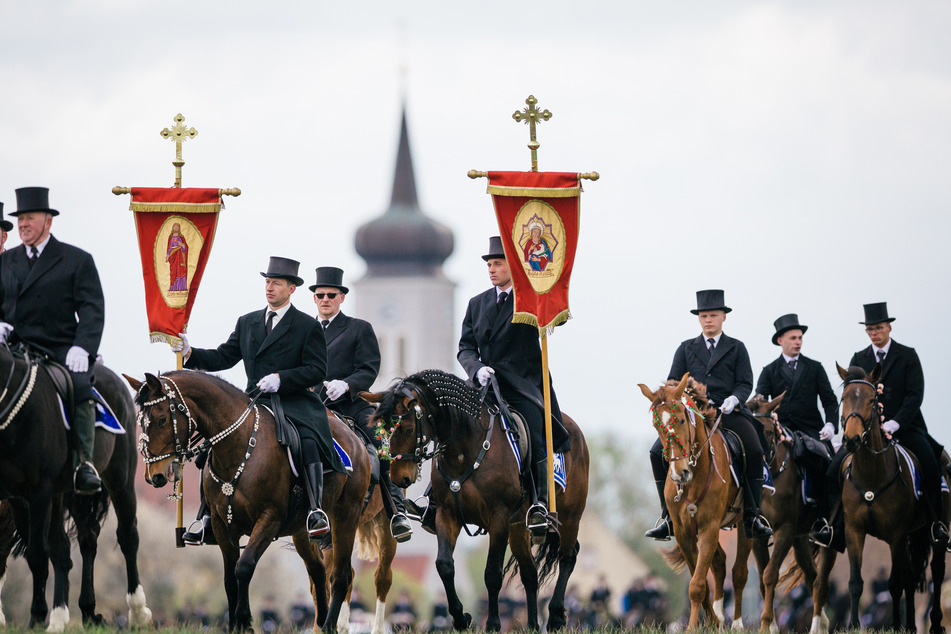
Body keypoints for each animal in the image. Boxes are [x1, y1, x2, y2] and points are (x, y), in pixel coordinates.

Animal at [129, 368, 390, 628]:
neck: (239, 446)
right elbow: (229, 580)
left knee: (341, 576)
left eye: (162, 420)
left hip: (346, 516)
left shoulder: (269, 519)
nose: (154, 476)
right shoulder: (221, 524)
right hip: (301, 530)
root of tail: (353, 436)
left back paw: (329, 627)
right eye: (141, 421)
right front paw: (235, 625)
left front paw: (245, 621)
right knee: (318, 572)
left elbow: (243, 568)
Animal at [362, 368, 592, 628]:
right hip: (518, 528)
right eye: (383, 429)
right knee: (530, 573)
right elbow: (444, 566)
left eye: (409, 429)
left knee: (568, 557)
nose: (398, 477)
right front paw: (461, 618)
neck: (464, 449)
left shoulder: (498, 518)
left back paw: (554, 616)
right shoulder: (447, 515)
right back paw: (533, 625)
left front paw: (492, 624)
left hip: (570, 516)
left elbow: (492, 574)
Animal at [640, 372, 760, 624]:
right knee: (720, 564)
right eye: (656, 425)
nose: (680, 474)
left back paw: (738, 624)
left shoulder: (709, 528)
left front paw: (694, 626)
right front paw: (712, 622)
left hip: (745, 527)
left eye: (681, 421)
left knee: (740, 573)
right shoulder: (684, 533)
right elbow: (701, 580)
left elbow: (697, 585)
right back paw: (720, 617)